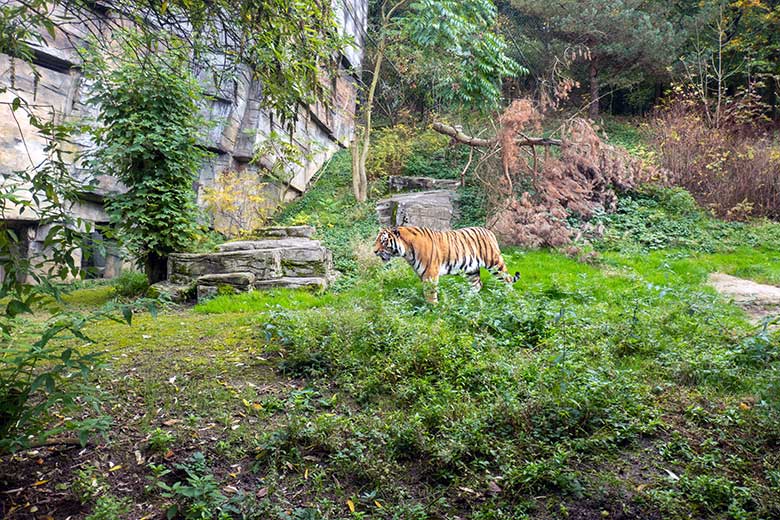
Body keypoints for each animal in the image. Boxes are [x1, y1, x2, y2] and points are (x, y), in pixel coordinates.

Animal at [372, 225, 516, 302]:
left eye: (384, 241)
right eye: (376, 240)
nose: (374, 251)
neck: (407, 251)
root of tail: (489, 231)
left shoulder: (430, 273)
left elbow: (430, 292)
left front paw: (432, 308)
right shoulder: (422, 273)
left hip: (494, 263)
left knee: (507, 279)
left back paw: (508, 297)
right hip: (471, 269)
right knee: (477, 284)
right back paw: (466, 299)